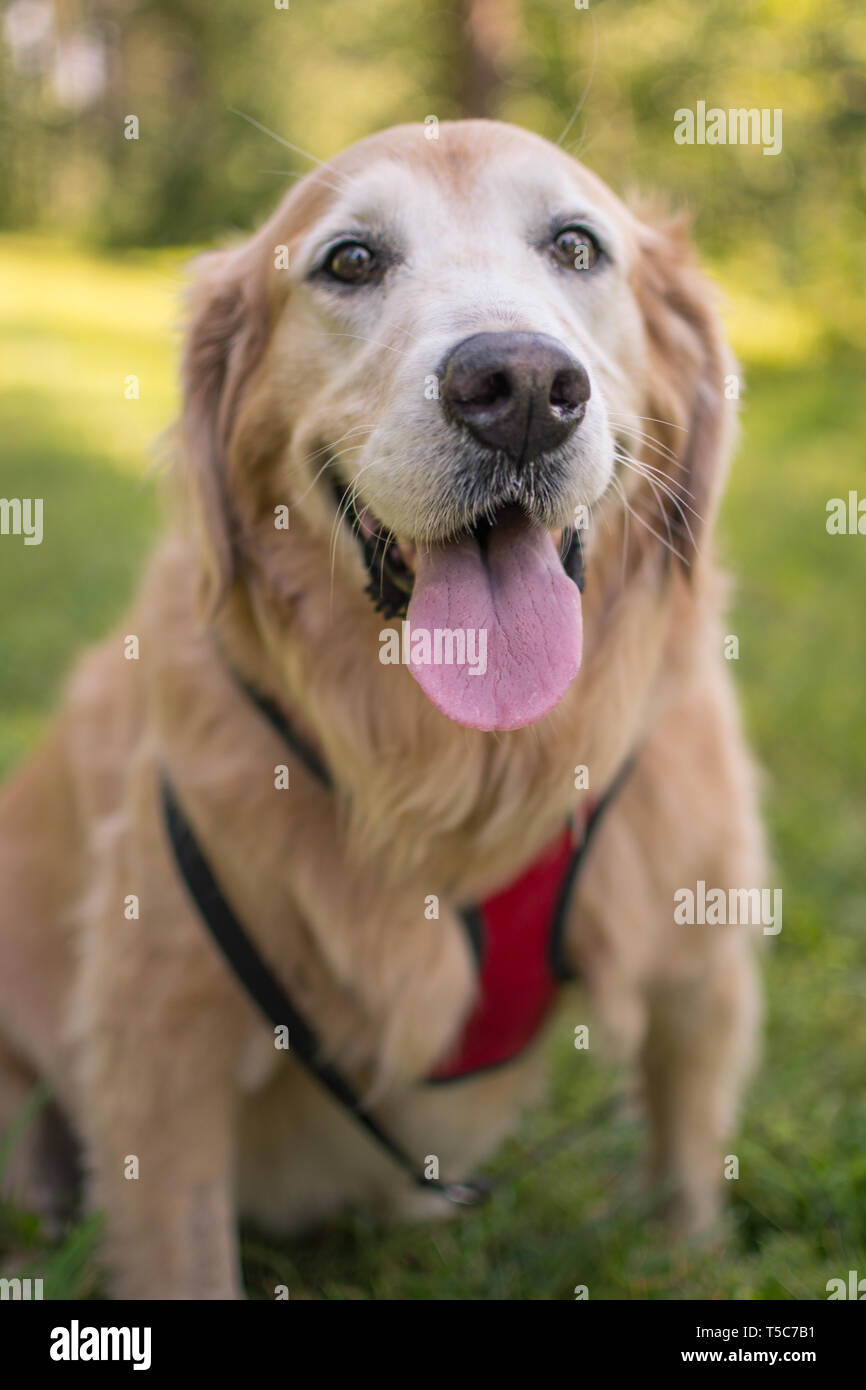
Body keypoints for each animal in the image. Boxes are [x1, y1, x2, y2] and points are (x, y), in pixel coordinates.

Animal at [0, 113, 761, 1295]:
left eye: (576, 246)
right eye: (350, 260)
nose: (521, 387)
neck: (458, 768)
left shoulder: (702, 955)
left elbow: (684, 1153)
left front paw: (686, 1253)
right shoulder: (159, 1032)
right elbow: (181, 1249)